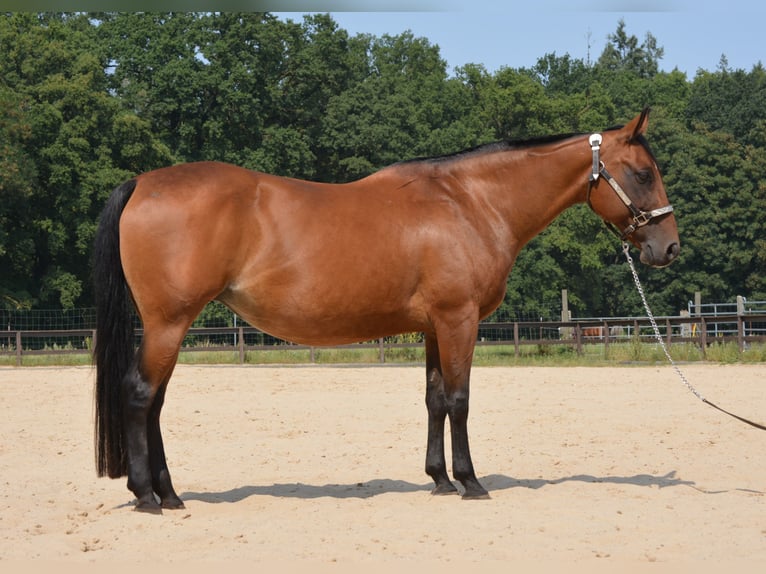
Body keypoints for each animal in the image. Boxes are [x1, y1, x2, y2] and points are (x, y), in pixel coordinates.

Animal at [93, 108, 679, 512]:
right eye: (643, 173)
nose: (668, 248)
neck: (470, 203)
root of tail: (143, 182)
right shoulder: (459, 319)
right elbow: (460, 399)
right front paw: (471, 481)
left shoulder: (434, 326)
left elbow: (435, 399)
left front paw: (439, 479)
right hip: (169, 323)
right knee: (141, 395)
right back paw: (147, 496)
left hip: (169, 327)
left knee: (155, 403)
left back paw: (169, 493)